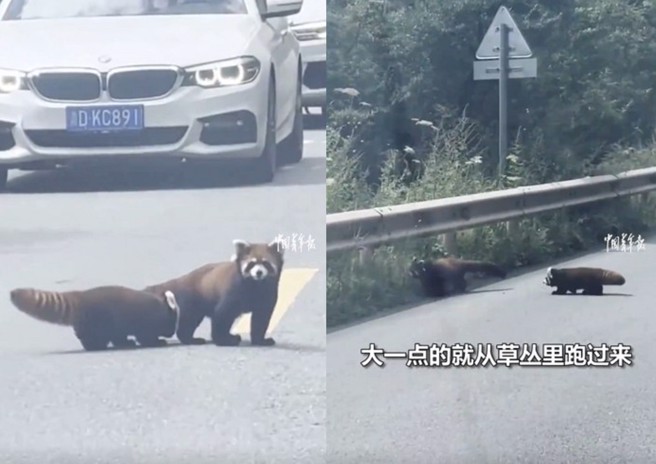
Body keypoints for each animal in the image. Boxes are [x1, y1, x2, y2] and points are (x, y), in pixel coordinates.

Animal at [8, 286, 182, 352]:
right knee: (99, 335)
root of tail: (81, 296)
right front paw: (156, 341)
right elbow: (145, 335)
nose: (171, 333)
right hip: (98, 319)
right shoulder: (145, 320)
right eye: (172, 323)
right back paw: (96, 345)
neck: (161, 306)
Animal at [142, 241, 284, 346]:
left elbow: (261, 319)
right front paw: (223, 340)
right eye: (252, 264)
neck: (256, 286)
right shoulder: (233, 291)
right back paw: (192, 339)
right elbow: (222, 314)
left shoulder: (268, 295)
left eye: (266, 263)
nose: (258, 272)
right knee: (188, 322)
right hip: (191, 300)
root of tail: (181, 280)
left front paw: (260, 340)